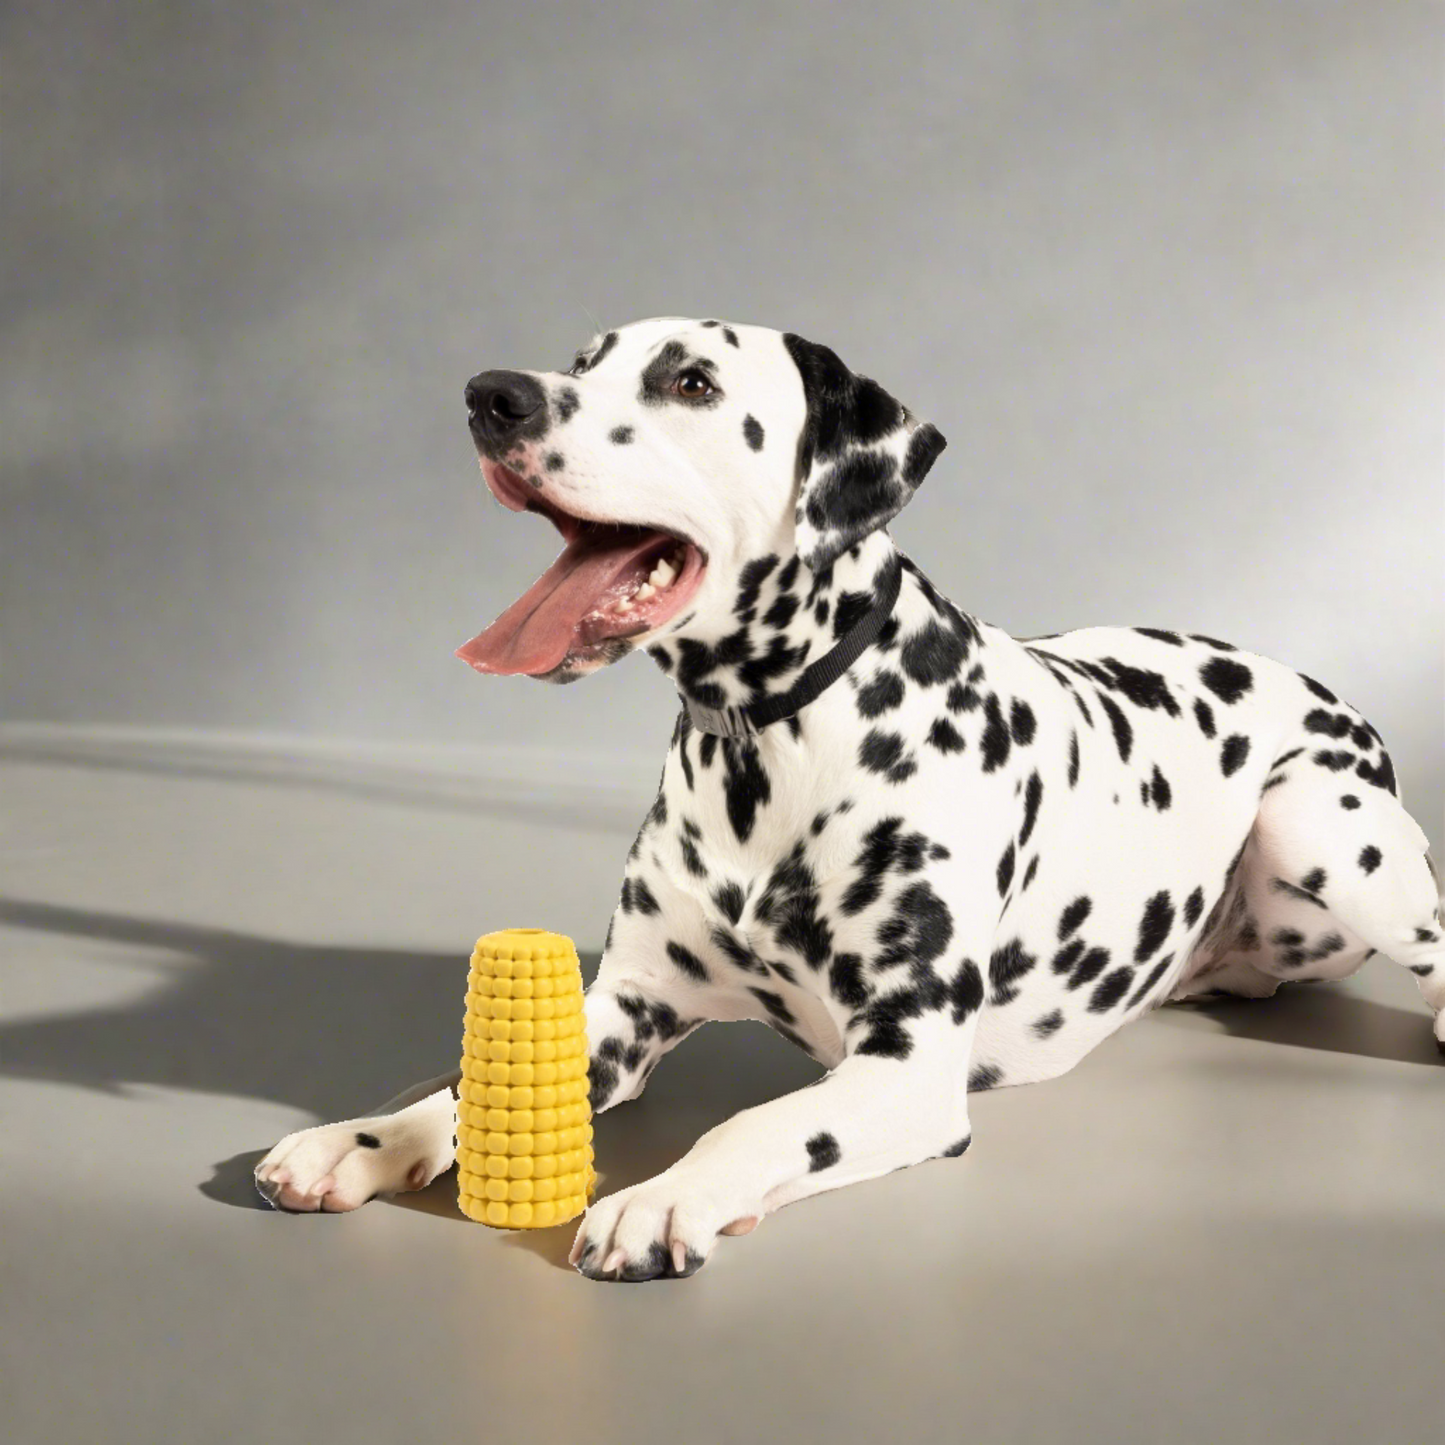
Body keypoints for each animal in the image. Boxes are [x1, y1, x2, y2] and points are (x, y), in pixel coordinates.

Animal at [260, 313, 1445, 1277]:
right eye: (581, 361)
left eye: (689, 381)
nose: (492, 393)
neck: (771, 743)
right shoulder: (622, 1005)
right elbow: (465, 1084)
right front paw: (356, 1139)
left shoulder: (907, 1066)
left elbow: (757, 1124)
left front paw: (663, 1195)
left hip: (1320, 827)